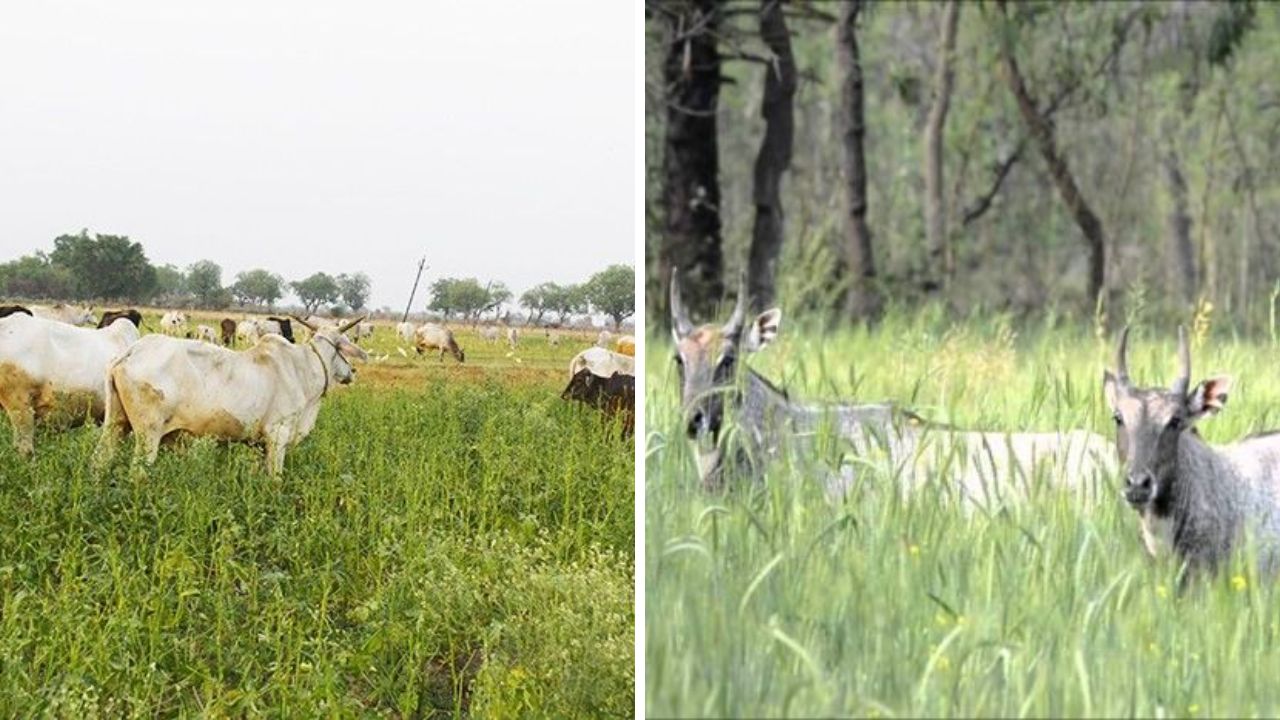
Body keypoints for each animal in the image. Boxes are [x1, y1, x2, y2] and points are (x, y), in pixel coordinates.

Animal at [93, 312, 366, 471]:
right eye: (342, 348)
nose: (352, 370)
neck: (303, 368)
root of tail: (131, 352)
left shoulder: (262, 445)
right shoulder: (278, 437)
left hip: (115, 425)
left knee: (100, 460)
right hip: (148, 435)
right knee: (138, 471)